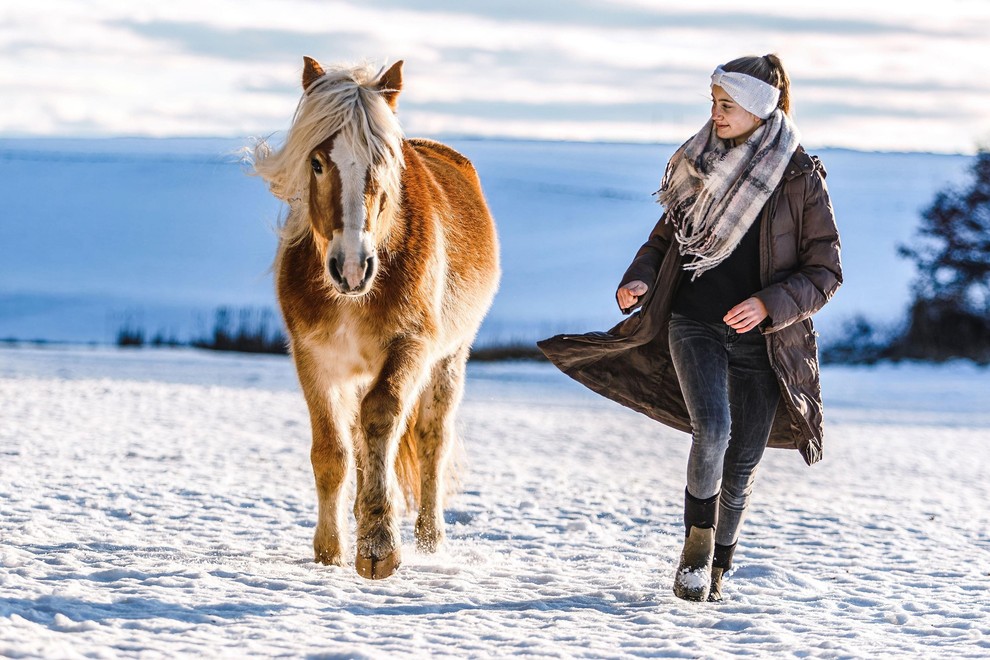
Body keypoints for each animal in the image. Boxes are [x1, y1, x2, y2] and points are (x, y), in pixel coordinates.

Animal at [252, 59, 500, 580]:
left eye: (382, 161)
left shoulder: (411, 347)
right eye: (317, 162)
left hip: (450, 359)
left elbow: (383, 418)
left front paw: (379, 547)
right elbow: (333, 451)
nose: (351, 267)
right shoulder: (314, 358)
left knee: (430, 441)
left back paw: (429, 540)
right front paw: (330, 551)